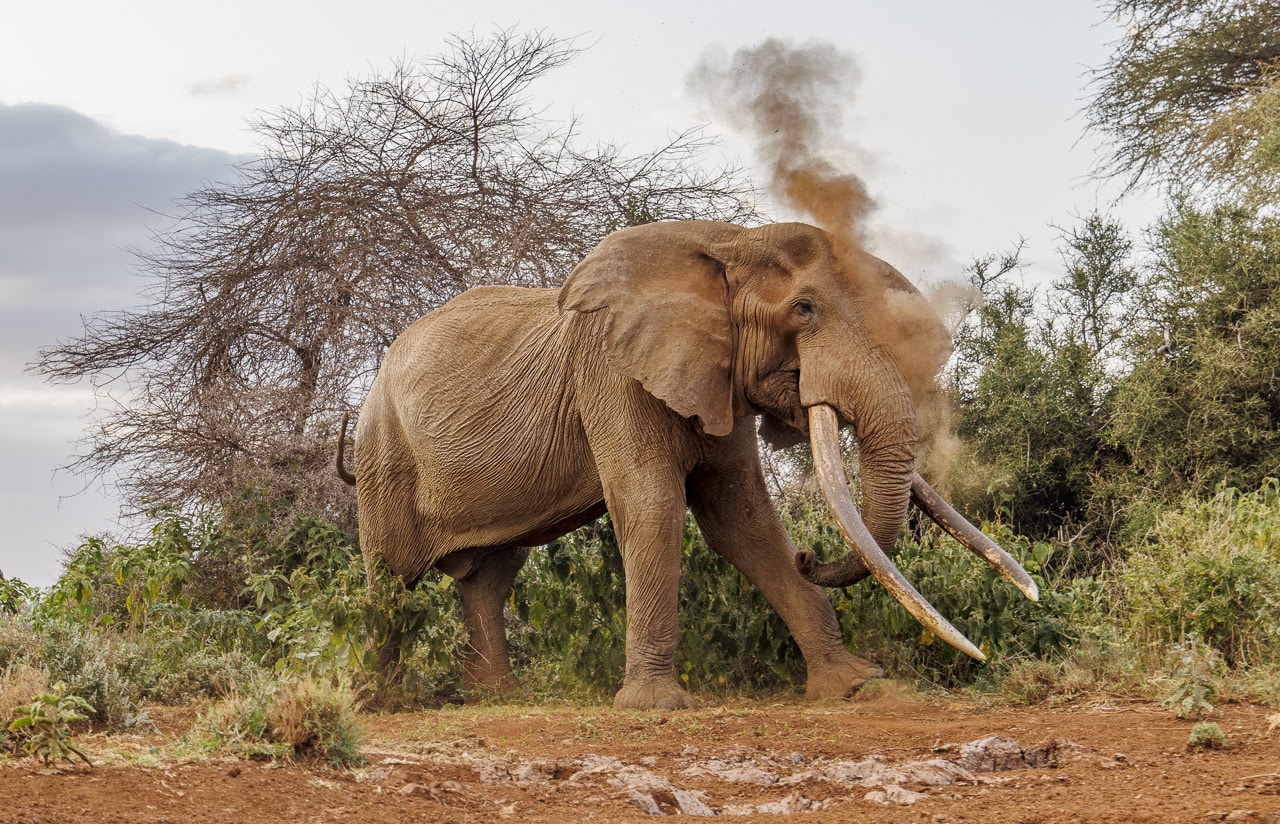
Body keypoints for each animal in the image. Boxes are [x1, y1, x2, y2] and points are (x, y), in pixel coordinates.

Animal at [340, 217, 1039, 706]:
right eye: (804, 309)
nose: (812, 555)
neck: (729, 243)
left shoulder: (716, 376)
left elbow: (743, 521)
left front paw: (855, 686)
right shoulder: (615, 372)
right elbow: (654, 506)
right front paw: (654, 706)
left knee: (490, 577)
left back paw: (497, 699)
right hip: (384, 455)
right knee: (392, 574)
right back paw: (382, 702)